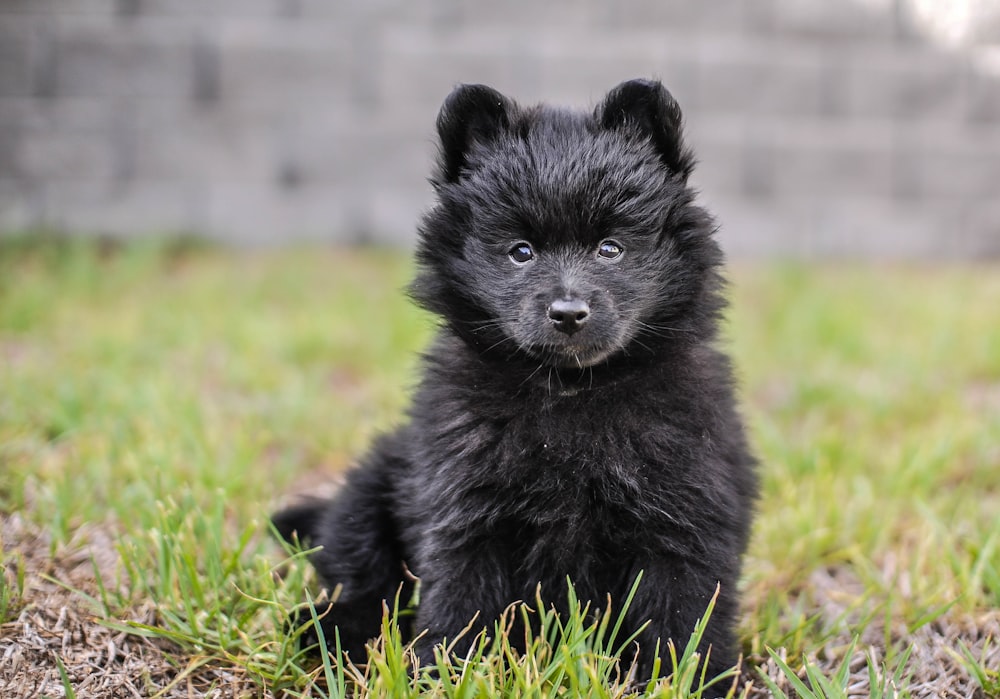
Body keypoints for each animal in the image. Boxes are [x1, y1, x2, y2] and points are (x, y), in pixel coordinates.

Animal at [274, 79, 756, 680]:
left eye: (611, 248)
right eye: (520, 252)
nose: (568, 312)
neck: (571, 392)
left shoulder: (685, 517)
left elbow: (681, 619)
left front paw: (688, 681)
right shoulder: (465, 509)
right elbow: (461, 599)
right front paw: (446, 673)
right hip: (374, 486)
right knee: (364, 576)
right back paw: (328, 629)